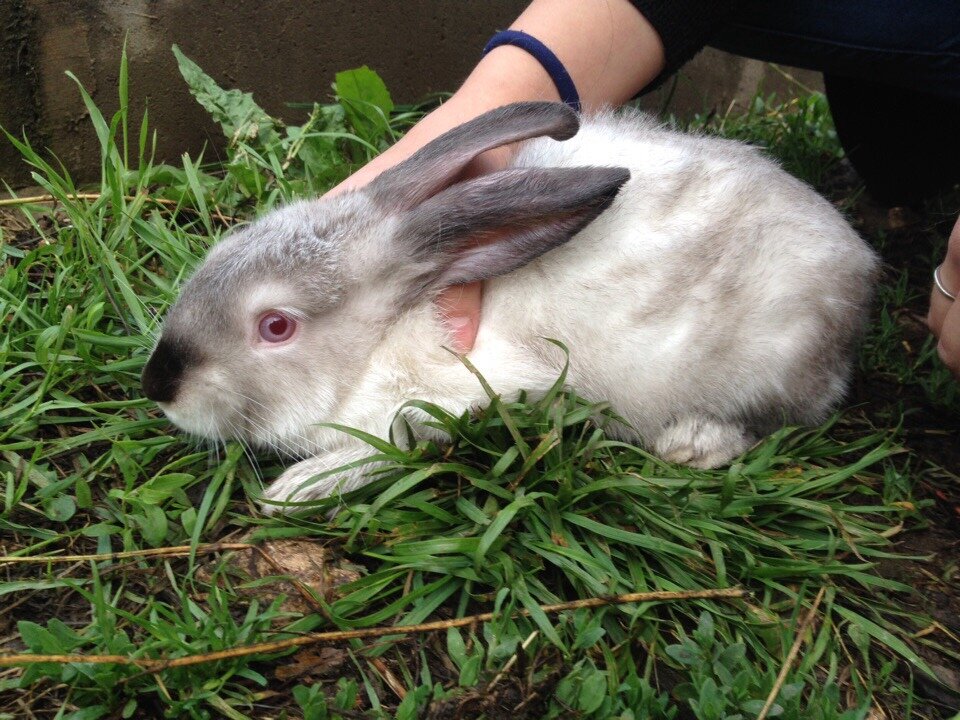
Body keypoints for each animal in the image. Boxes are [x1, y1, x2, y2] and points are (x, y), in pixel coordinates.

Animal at [139, 104, 880, 516]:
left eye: (276, 326)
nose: (158, 387)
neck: (380, 341)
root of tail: (857, 266)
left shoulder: (457, 398)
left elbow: (390, 446)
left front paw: (296, 491)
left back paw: (694, 444)